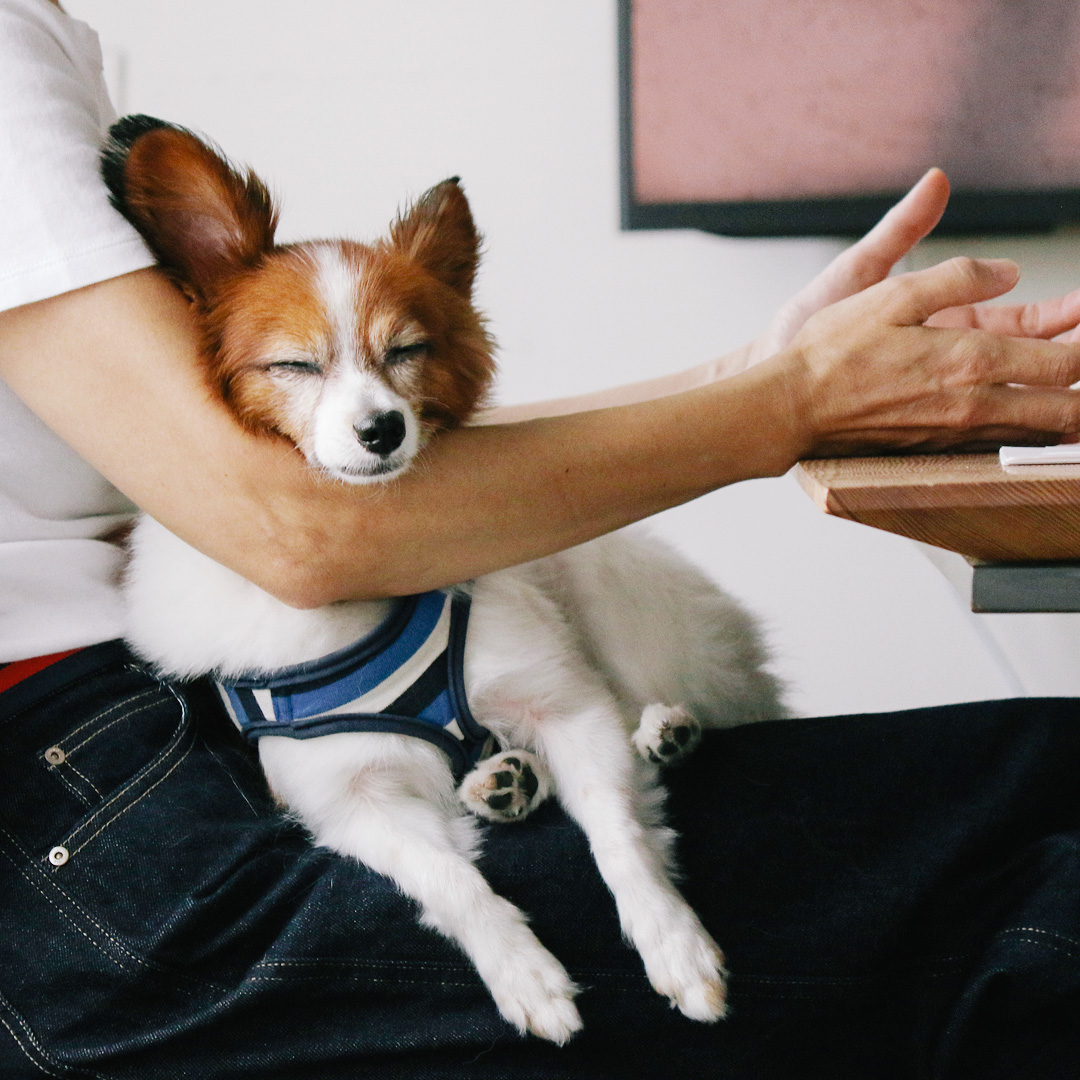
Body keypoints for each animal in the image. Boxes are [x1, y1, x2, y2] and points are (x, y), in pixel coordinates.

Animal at [107, 120, 786, 1045]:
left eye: (407, 352)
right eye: (293, 366)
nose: (382, 429)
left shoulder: (567, 706)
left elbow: (622, 838)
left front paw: (675, 945)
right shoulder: (351, 802)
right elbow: (451, 883)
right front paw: (523, 974)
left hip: (608, 590)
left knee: (689, 698)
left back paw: (663, 732)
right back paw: (502, 783)